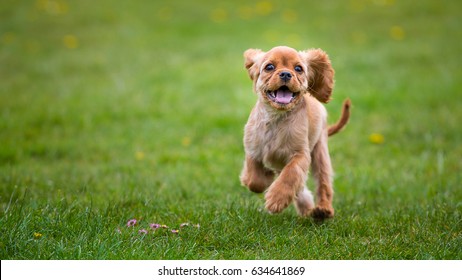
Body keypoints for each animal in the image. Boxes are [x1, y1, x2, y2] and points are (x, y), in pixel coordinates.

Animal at [238, 46, 350, 220]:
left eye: (298, 69)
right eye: (269, 67)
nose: (285, 73)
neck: (276, 118)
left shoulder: (301, 154)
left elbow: (291, 174)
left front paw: (276, 199)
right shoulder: (253, 148)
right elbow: (254, 179)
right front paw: (265, 177)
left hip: (320, 151)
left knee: (323, 183)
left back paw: (322, 210)